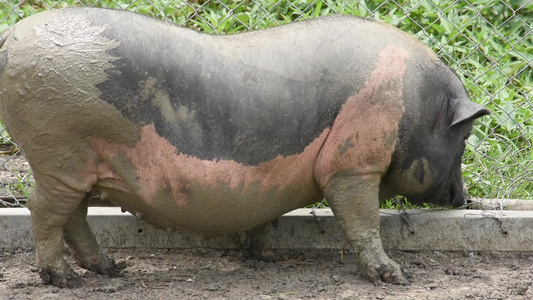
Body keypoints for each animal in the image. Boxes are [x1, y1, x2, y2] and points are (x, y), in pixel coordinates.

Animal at [0, 8, 490, 288]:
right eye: (464, 137)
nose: (466, 199)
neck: (418, 106)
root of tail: (12, 37)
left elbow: (265, 214)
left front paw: (264, 256)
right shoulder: (353, 165)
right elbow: (363, 221)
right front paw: (398, 278)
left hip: (76, 163)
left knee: (74, 215)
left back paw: (112, 270)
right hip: (59, 152)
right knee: (44, 210)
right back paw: (64, 281)